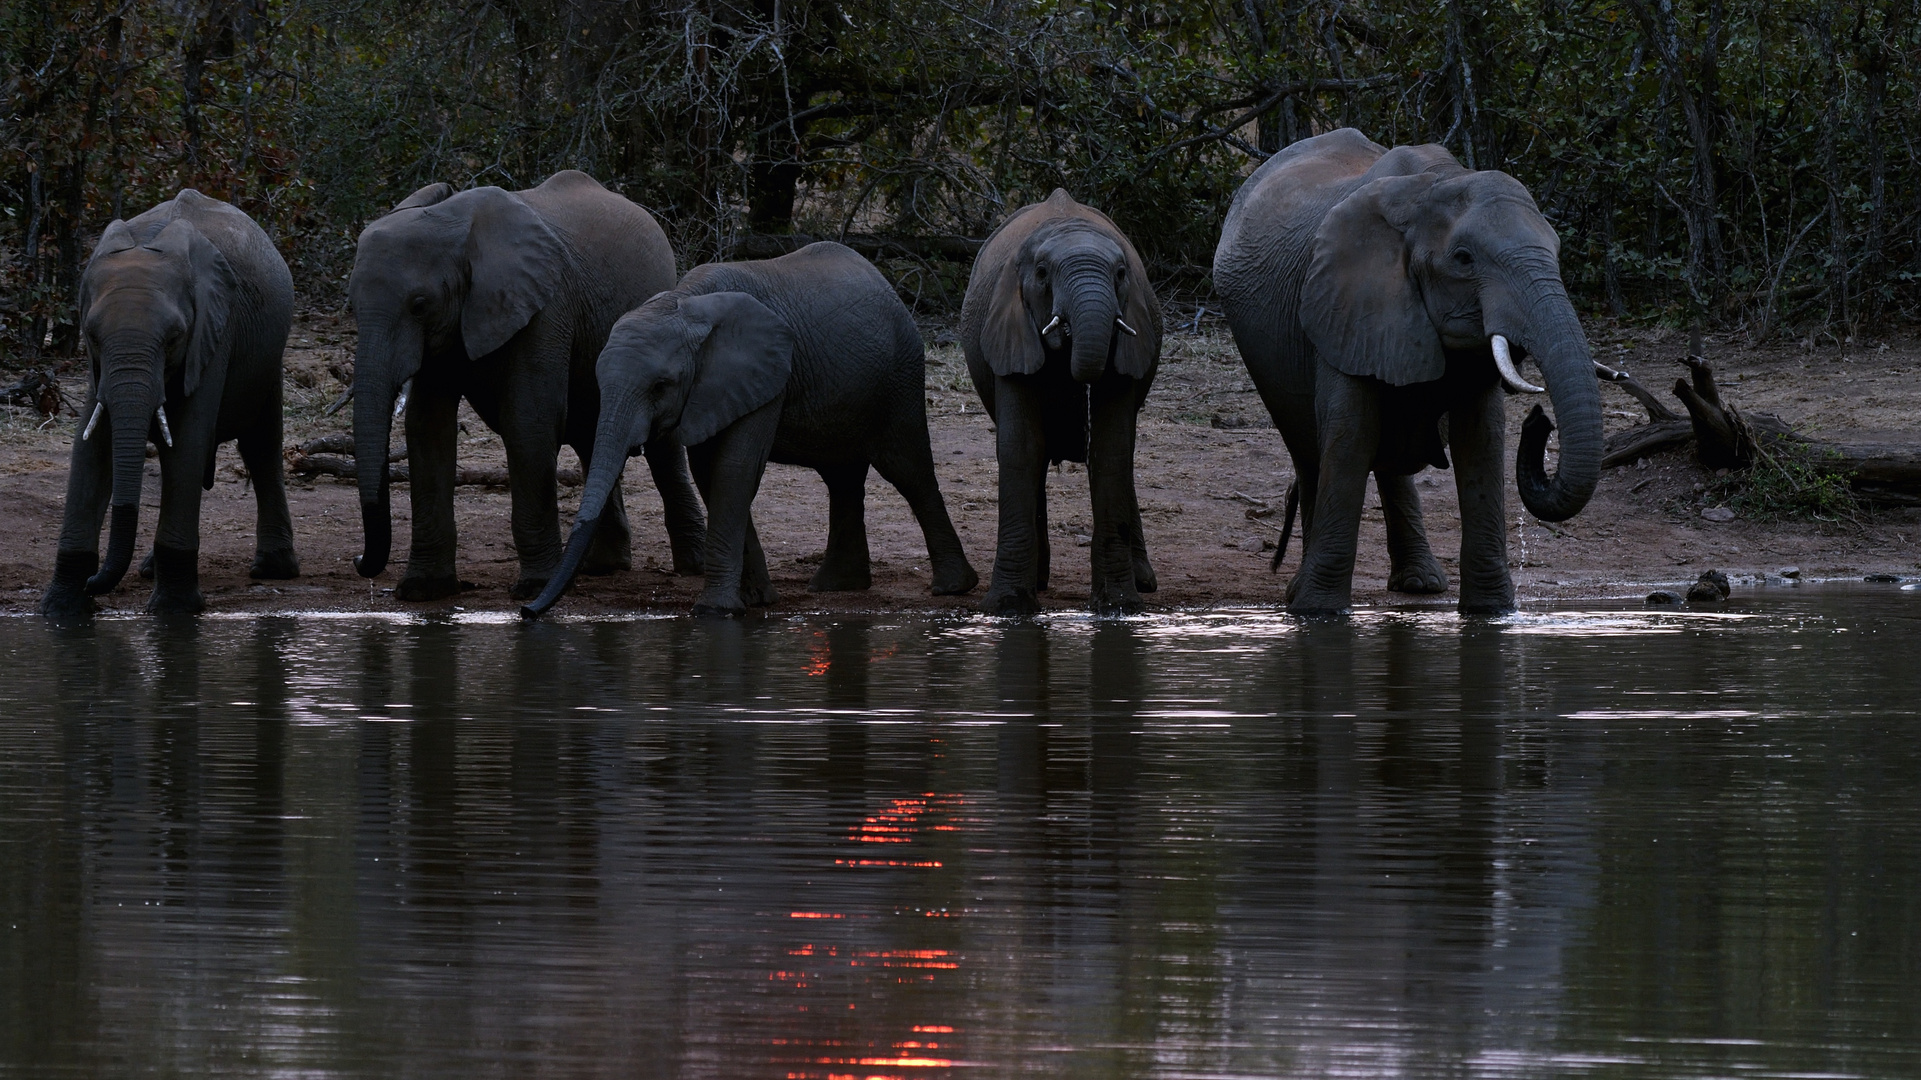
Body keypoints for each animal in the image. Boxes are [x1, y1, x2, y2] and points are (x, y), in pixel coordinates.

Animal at [345, 168, 706, 595]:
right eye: (351, 306)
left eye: (419, 305)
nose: (358, 560)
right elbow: (428, 426)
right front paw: (422, 591)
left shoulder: (544, 307)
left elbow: (528, 421)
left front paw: (534, 588)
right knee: (592, 434)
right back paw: (602, 568)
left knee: (661, 448)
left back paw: (692, 567)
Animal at [522, 240, 975, 618]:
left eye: (660, 386)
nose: (527, 611)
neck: (685, 302)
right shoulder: (710, 390)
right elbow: (710, 474)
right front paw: (755, 601)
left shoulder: (766, 373)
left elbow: (734, 470)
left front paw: (715, 612)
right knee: (842, 478)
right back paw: (835, 588)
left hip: (899, 376)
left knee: (907, 469)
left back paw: (952, 588)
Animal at [956, 187, 1152, 614]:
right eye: (1043, 273)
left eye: (1121, 274)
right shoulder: (1010, 334)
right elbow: (1021, 449)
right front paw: (1009, 607)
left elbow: (1110, 451)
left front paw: (1118, 607)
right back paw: (1040, 580)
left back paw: (1145, 582)